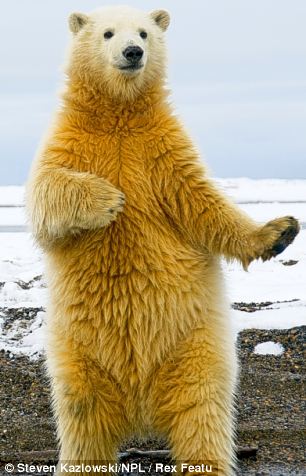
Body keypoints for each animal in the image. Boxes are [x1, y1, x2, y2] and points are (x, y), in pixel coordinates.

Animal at [26, 4, 298, 476]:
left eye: (144, 32)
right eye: (107, 33)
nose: (132, 52)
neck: (118, 114)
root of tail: (139, 406)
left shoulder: (163, 151)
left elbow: (203, 204)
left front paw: (280, 231)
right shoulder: (70, 141)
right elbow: (46, 191)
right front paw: (110, 198)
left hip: (194, 347)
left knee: (201, 414)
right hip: (78, 356)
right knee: (82, 420)